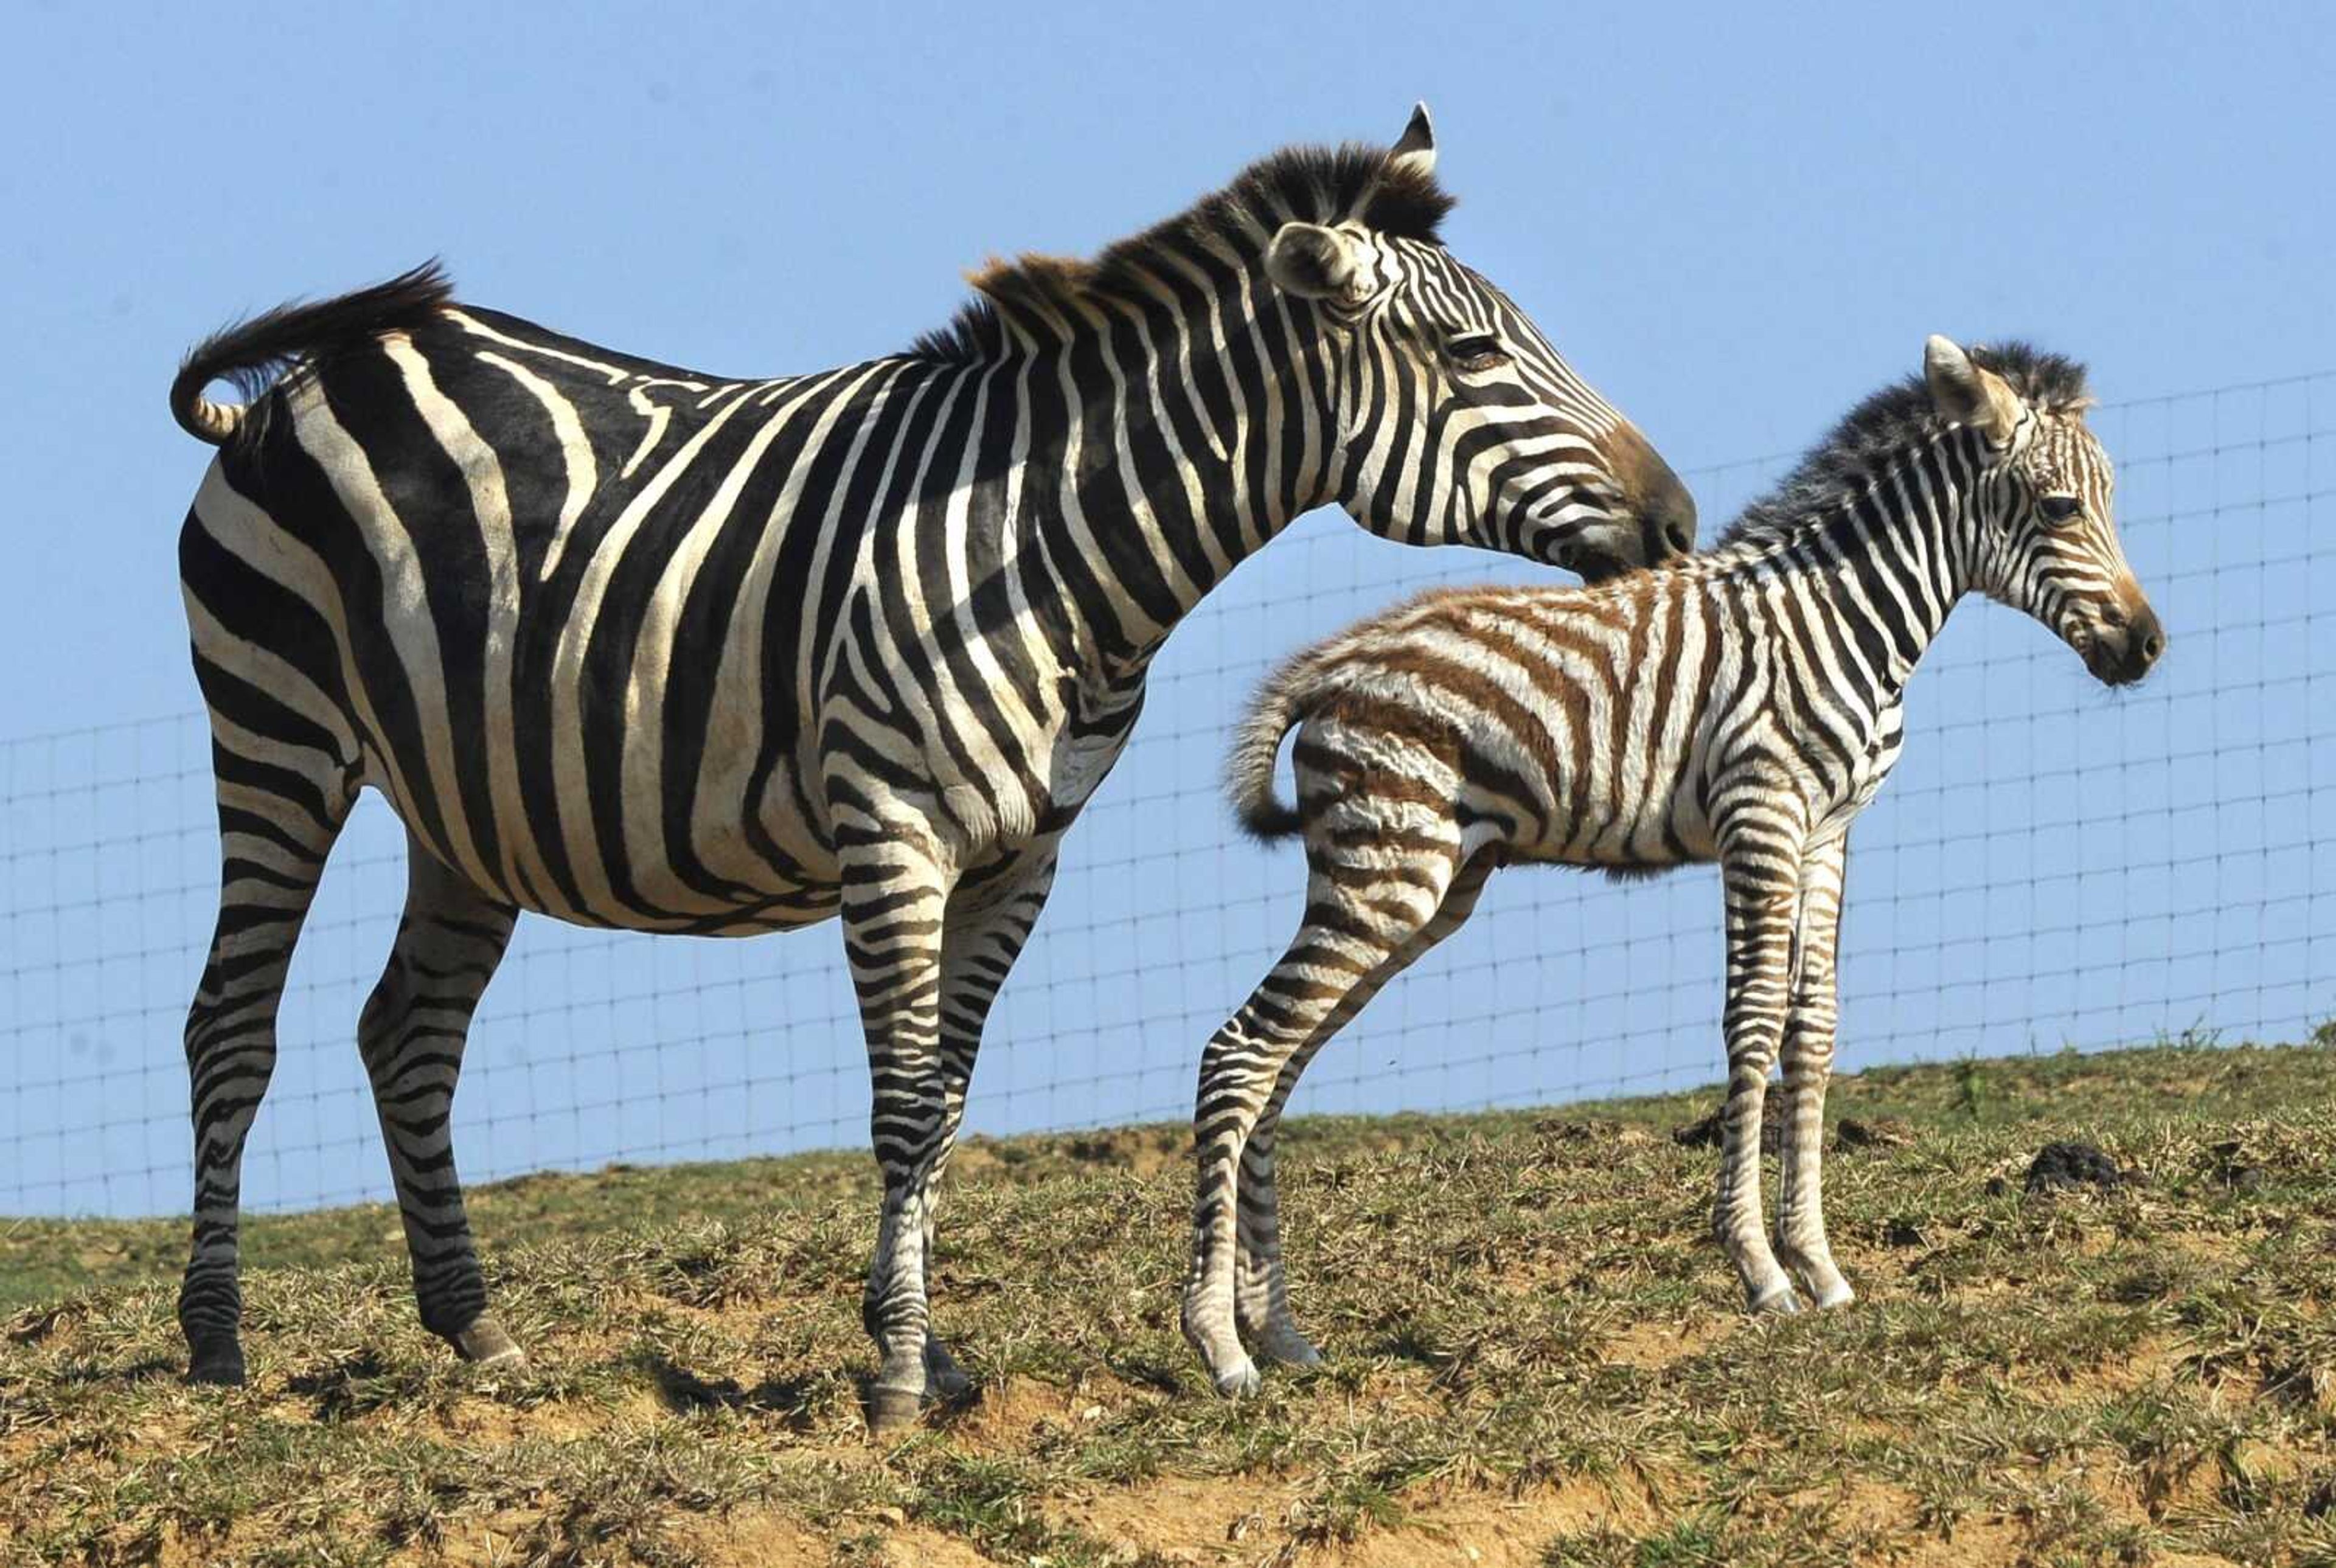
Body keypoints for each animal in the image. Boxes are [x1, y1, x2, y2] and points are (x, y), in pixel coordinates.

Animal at [169, 103, 1700, 1430]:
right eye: (1470, 355)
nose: (1679, 519)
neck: (1044, 543)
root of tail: (306, 382)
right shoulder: (891, 827)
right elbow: (904, 1099)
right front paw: (902, 1372)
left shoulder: (1024, 850)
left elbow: (949, 1100)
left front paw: (933, 1350)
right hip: (276, 728)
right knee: (231, 1025)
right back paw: (217, 1344)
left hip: (471, 805)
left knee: (407, 1032)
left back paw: (475, 1326)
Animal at [1186, 336, 2167, 1392]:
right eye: (2060, 508)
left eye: (2112, 499)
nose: (2149, 647)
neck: (1844, 616)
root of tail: (1333, 663)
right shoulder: (1762, 814)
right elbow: (1752, 1022)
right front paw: (1760, 1271)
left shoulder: (1829, 834)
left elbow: (1813, 1030)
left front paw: (1822, 1267)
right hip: (1387, 868)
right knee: (1240, 1052)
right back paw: (1220, 1346)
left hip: (1424, 883)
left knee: (1279, 1064)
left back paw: (1279, 1333)